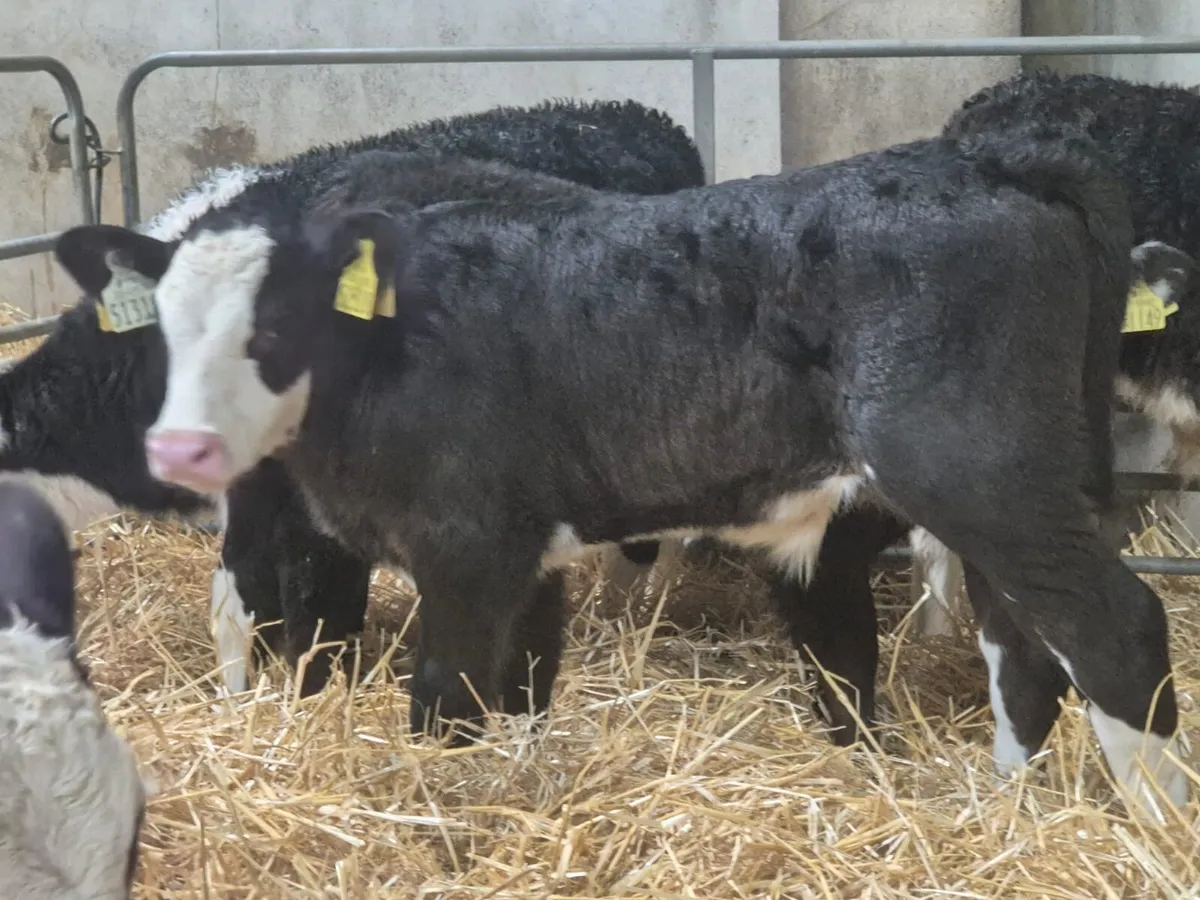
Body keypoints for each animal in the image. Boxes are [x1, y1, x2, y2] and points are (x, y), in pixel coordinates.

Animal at [56, 121, 1191, 816]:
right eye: (165, 327)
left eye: (278, 324)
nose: (183, 449)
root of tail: (996, 160)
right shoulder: (525, 550)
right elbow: (524, 688)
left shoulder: (464, 545)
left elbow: (443, 703)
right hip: (1010, 487)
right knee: (1024, 646)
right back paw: (1007, 806)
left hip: (979, 475)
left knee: (1116, 629)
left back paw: (1148, 829)